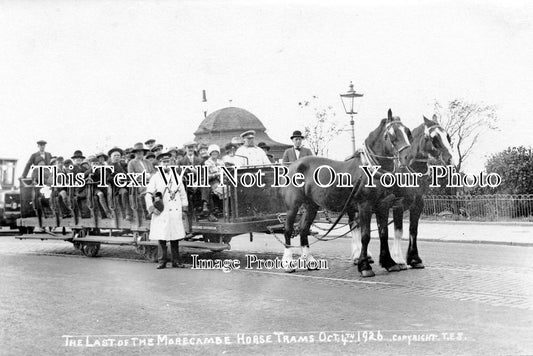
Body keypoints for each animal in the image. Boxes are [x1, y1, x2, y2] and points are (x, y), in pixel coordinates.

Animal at [282, 108, 412, 276]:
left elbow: (383, 233)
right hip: (293, 205)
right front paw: (365, 266)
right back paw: (288, 262)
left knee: (304, 229)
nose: (408, 157)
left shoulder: (383, 205)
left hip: (311, 205)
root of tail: (294, 165)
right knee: (288, 229)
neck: (370, 170)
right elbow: (365, 236)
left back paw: (310, 261)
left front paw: (389, 263)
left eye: (407, 131)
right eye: (392, 134)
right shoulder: (364, 206)